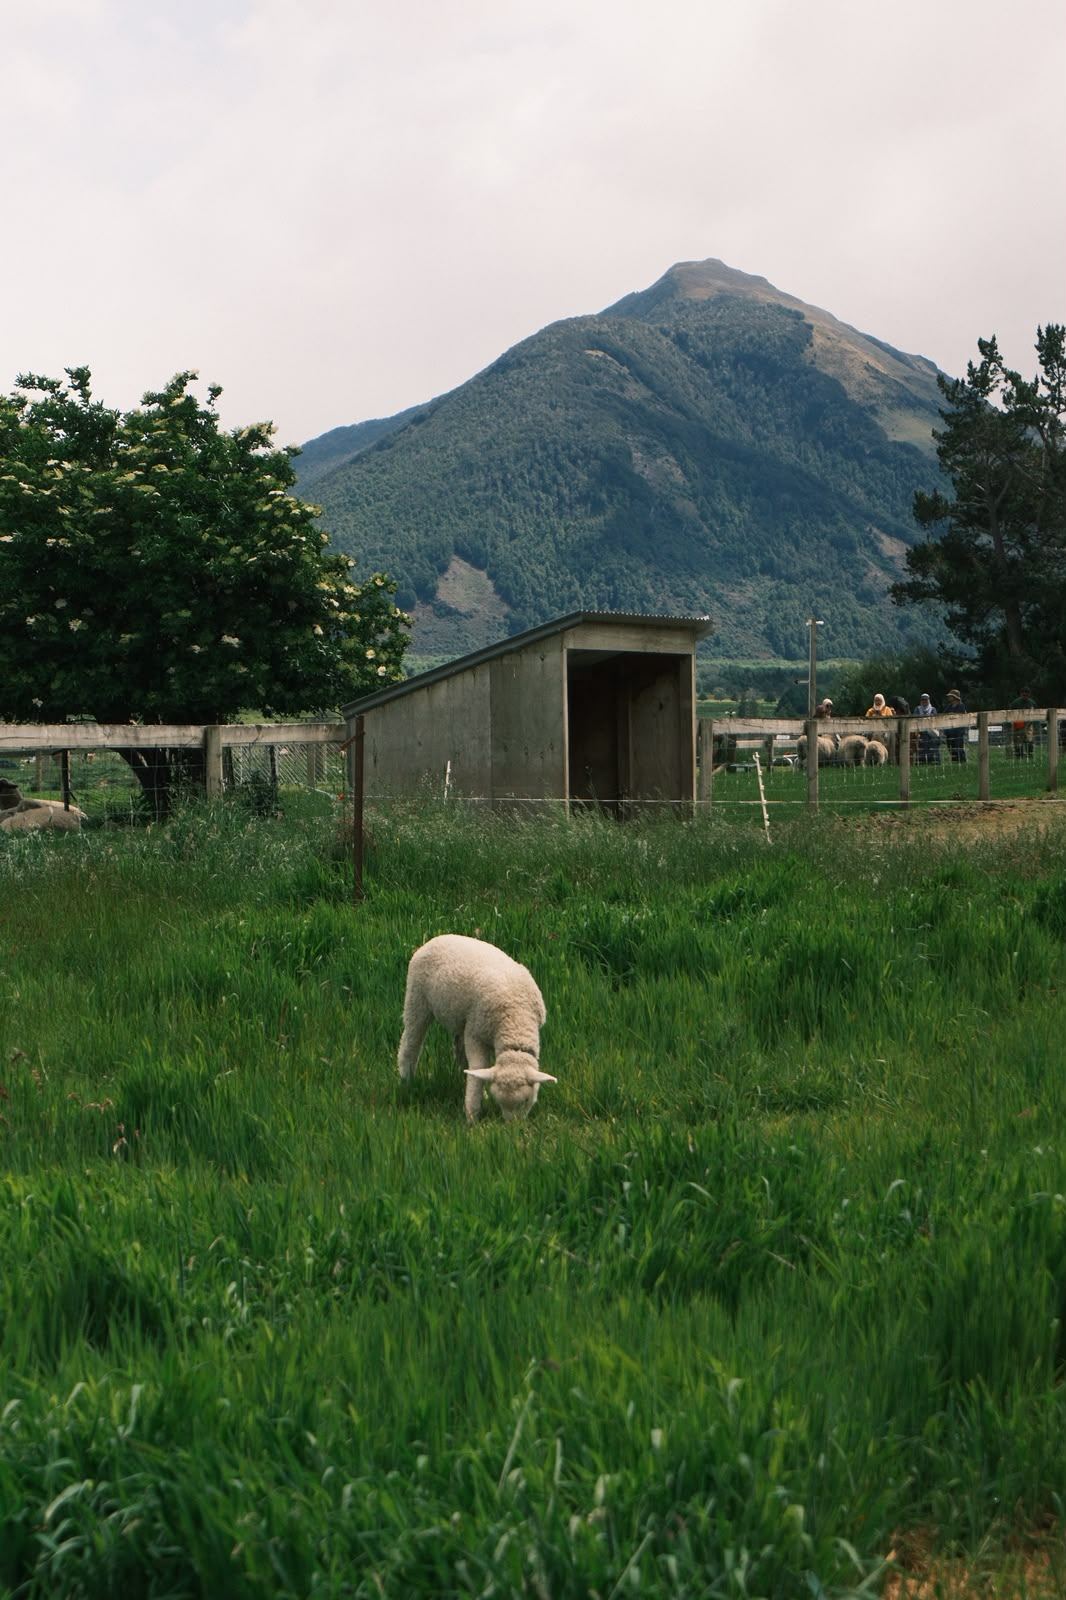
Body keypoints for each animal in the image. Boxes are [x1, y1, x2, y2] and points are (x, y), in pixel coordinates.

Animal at [398, 934, 556, 1123]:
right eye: (500, 1102)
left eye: (526, 1101)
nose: (513, 1127)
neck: (514, 1020)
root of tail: (435, 939)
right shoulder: (475, 1033)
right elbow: (478, 1066)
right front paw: (472, 1115)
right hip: (417, 998)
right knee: (410, 1043)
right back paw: (407, 1081)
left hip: (460, 1020)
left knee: (460, 1052)